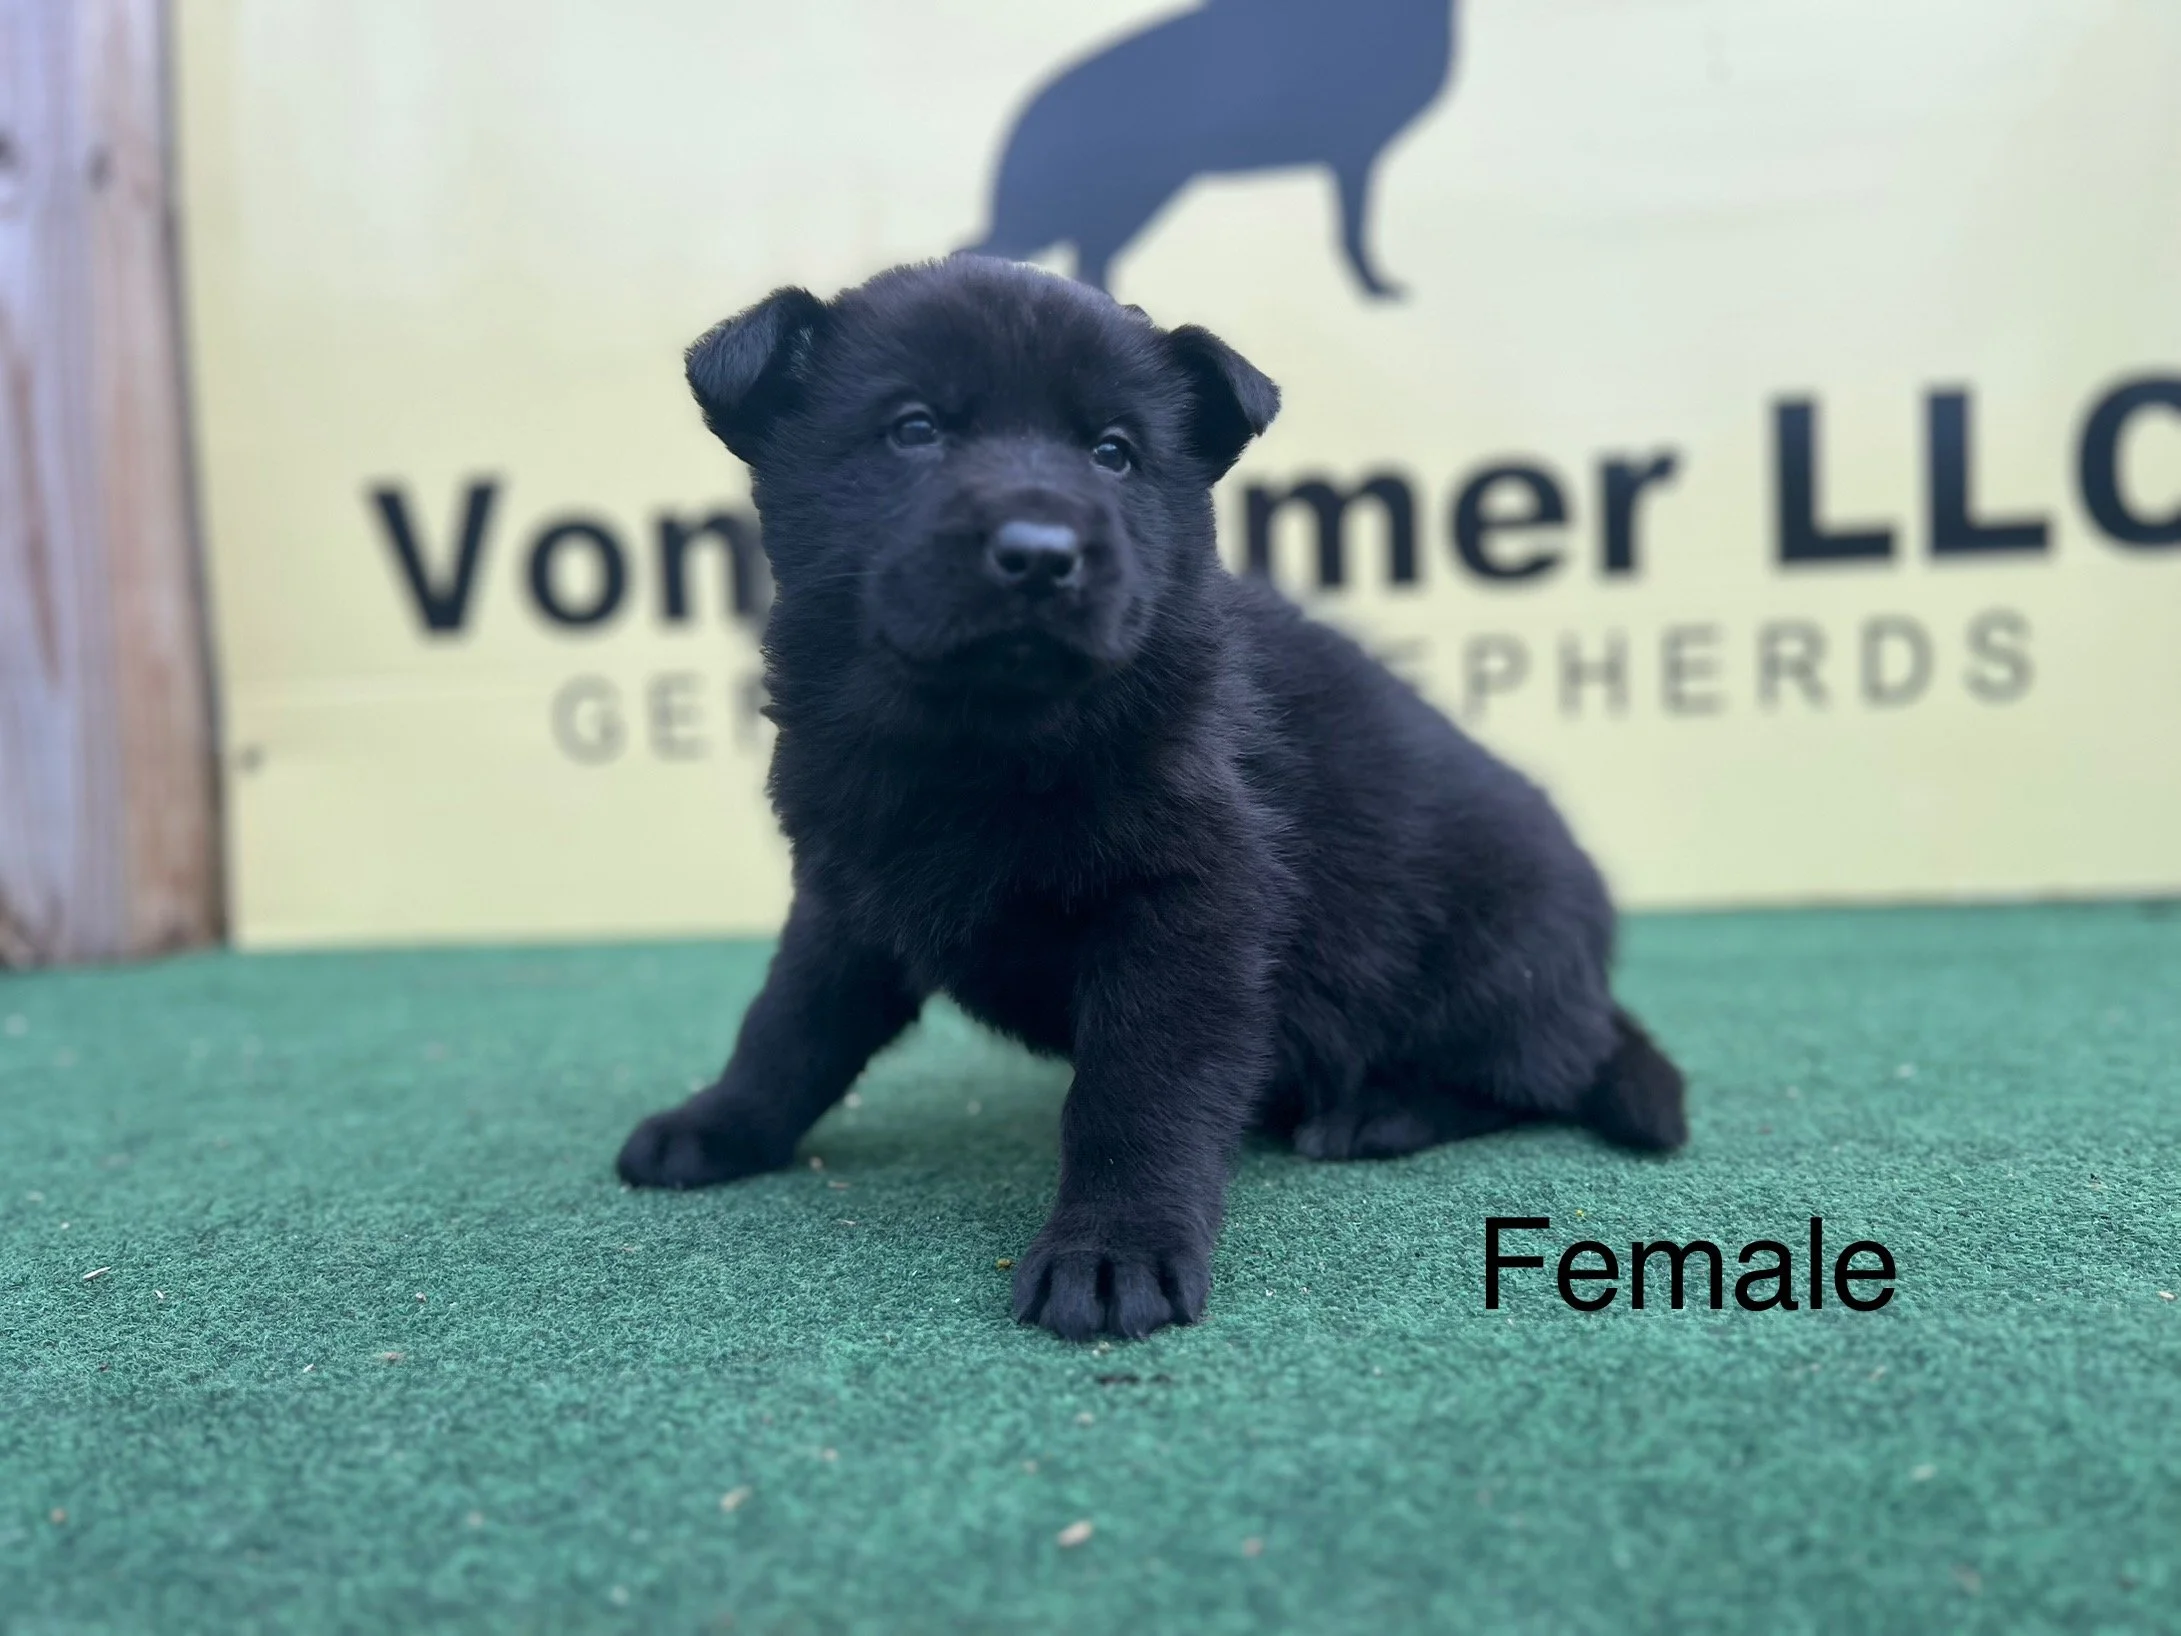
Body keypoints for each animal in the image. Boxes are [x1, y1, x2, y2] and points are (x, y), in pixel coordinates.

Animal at [616, 255, 1686, 1341]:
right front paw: (718, 1124)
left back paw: (1380, 1110)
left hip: (1492, 959)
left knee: (1536, 1072)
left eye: (1114, 453)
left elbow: (1136, 1092)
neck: (979, 742)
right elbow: (790, 1022)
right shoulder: (844, 895)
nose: (1041, 552)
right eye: (913, 428)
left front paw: (1111, 1250)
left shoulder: (1185, 914)